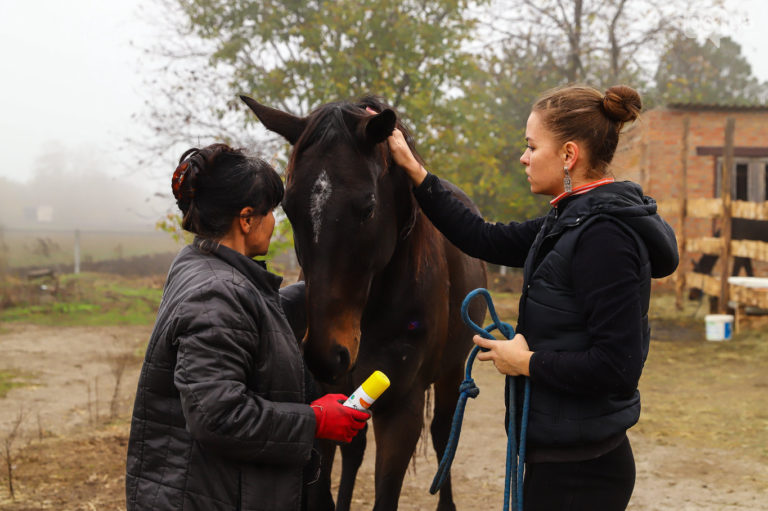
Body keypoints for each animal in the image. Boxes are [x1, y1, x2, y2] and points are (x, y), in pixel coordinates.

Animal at [241, 94, 488, 511]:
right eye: (288, 208)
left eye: (369, 207)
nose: (326, 354)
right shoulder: (327, 400)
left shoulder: (401, 412)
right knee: (354, 450)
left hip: (453, 372)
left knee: (442, 433)